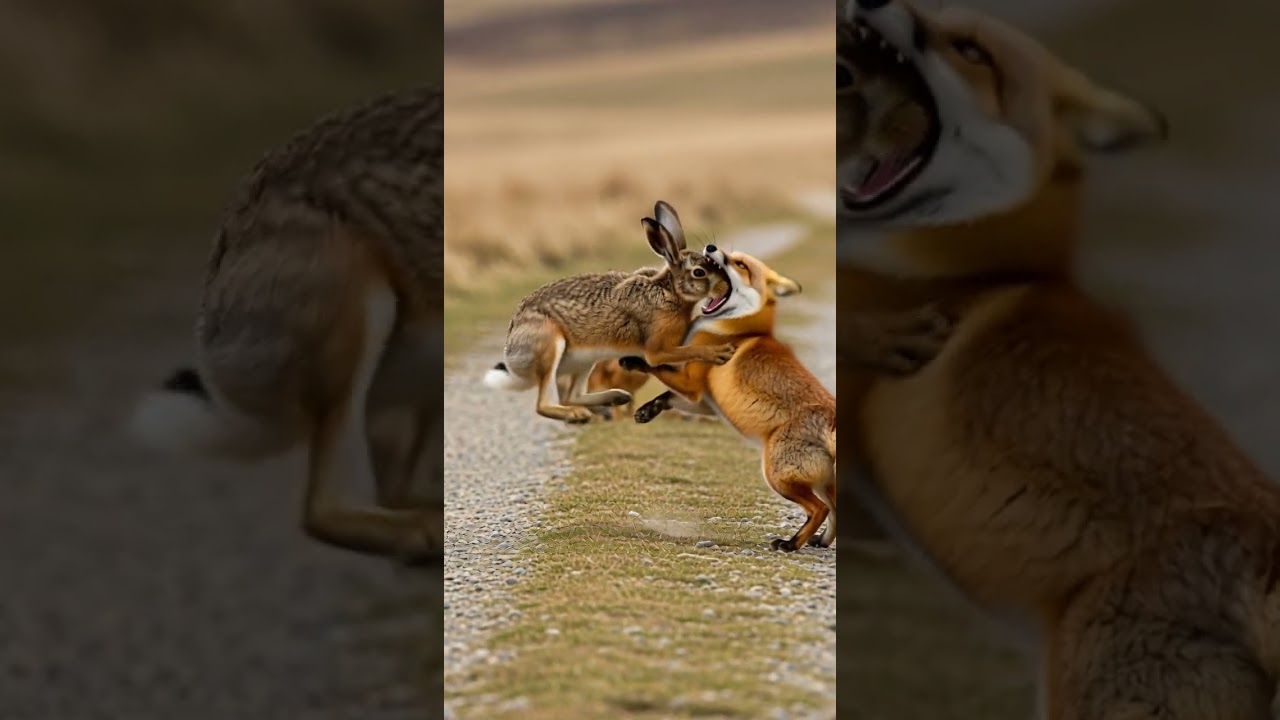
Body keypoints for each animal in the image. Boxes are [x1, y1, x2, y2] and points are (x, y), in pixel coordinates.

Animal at [621, 247, 950, 552]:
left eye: (740, 264)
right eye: (730, 255)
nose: (712, 248)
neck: (739, 329)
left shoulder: (692, 384)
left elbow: (656, 366)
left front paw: (632, 361)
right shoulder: (705, 401)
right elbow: (666, 396)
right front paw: (646, 411)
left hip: (778, 475)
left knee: (819, 509)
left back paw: (791, 544)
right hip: (820, 480)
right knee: (833, 509)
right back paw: (818, 541)